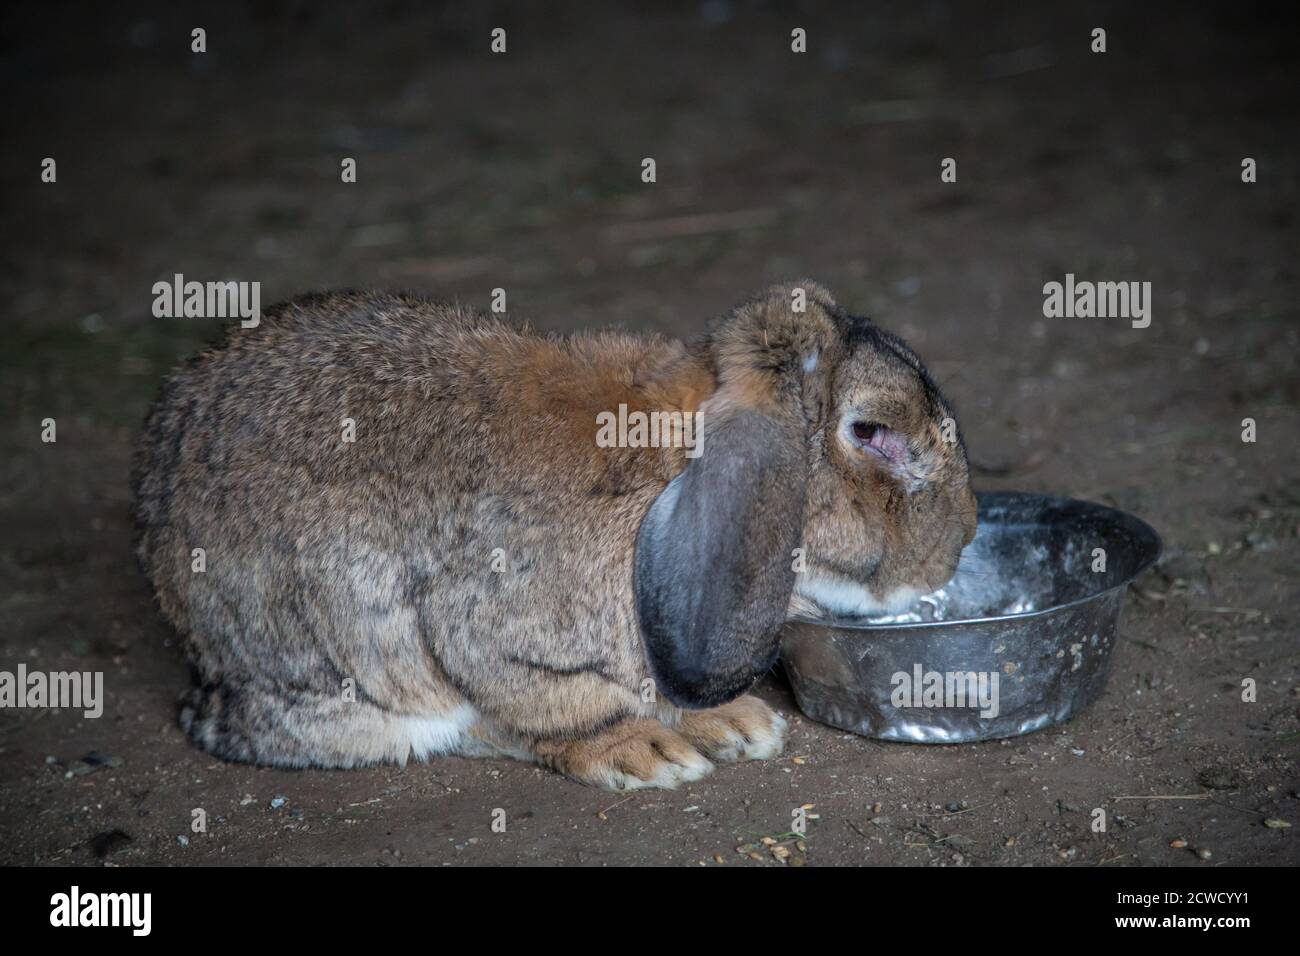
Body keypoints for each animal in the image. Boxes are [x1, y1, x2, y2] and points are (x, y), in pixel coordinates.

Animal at [131, 280, 977, 790]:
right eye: (871, 434)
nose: (962, 541)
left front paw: (733, 724)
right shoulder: (491, 628)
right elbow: (546, 699)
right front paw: (649, 751)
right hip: (356, 647)